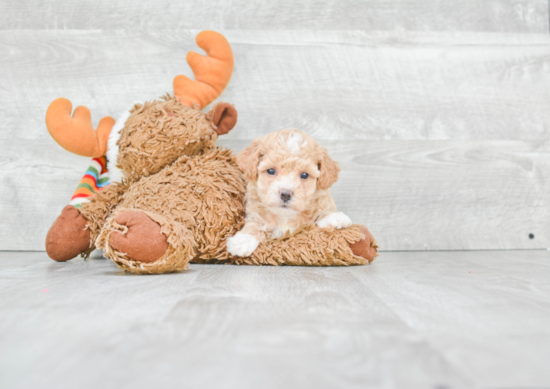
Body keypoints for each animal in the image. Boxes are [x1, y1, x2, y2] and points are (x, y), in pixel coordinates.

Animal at [227, 128, 354, 258]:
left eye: (304, 175)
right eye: (271, 171)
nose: (286, 194)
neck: (285, 216)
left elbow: (320, 211)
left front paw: (333, 216)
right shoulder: (254, 213)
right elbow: (253, 225)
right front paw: (242, 241)